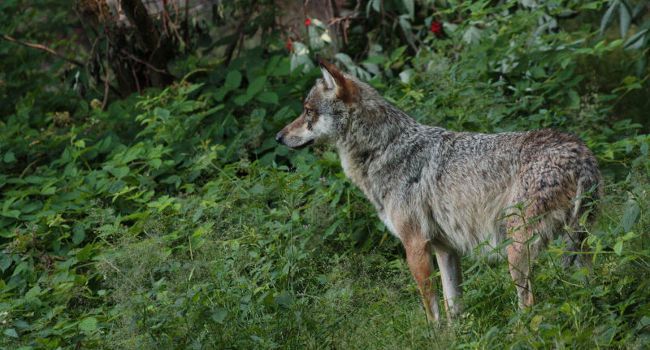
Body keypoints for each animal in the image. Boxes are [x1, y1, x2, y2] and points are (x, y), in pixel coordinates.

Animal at [272, 60, 596, 322]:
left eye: (308, 112)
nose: (278, 137)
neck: (384, 148)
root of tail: (581, 154)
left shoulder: (415, 246)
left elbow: (432, 311)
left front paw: (434, 336)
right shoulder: (445, 249)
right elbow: (454, 307)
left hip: (516, 253)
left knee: (528, 305)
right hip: (579, 248)